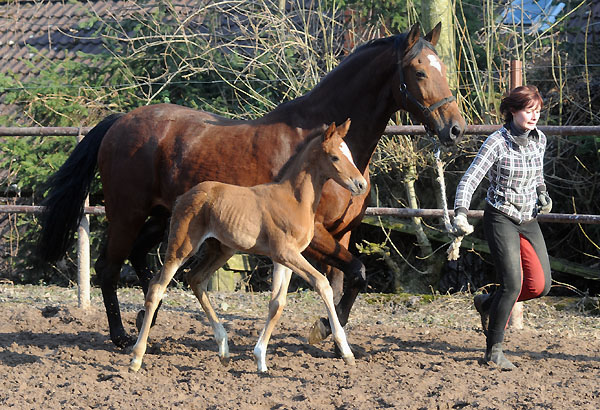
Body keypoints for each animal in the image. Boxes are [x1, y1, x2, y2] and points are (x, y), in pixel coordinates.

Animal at [129, 120, 368, 374]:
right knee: (157, 287)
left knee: (195, 279)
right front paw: (346, 352)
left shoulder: (284, 259)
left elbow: (277, 304)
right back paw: (136, 358)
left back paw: (224, 349)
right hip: (182, 246)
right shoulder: (286, 253)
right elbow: (322, 284)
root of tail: (182, 197)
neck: (294, 200)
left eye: (350, 154)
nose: (361, 184)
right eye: (335, 157)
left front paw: (261, 360)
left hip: (221, 250)